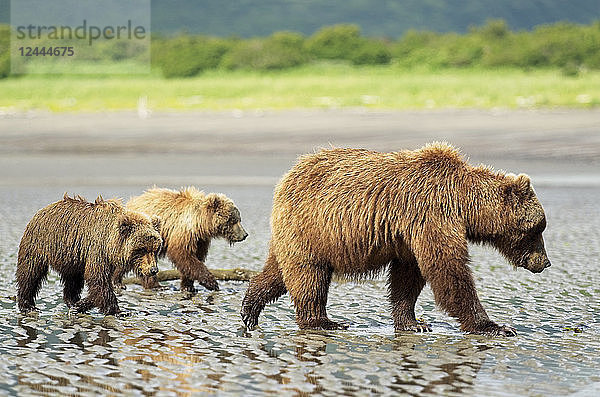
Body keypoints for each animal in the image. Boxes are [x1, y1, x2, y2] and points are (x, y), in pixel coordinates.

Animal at [241, 142, 552, 334]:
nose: (545, 262)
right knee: (309, 277)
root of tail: (288, 174)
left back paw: (249, 309)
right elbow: (448, 272)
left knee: (280, 272)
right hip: (311, 227)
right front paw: (494, 326)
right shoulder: (431, 214)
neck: (464, 204)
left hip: (301, 233)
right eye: (538, 228)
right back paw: (323, 322)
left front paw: (414, 323)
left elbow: (409, 277)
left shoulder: (410, 236)